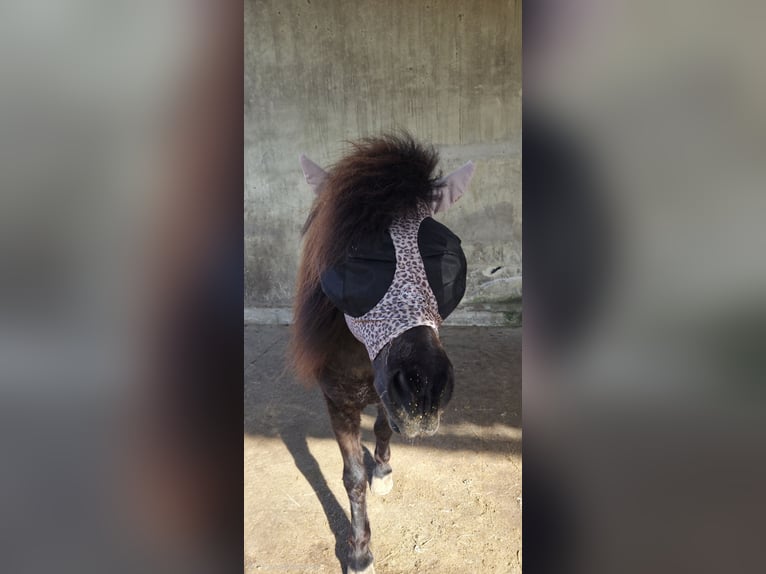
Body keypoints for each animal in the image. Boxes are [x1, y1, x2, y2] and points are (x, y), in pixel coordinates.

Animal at [289, 133, 475, 573]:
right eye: (356, 259)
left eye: (445, 257)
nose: (424, 388)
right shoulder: (337, 403)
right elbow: (352, 477)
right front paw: (359, 552)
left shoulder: (389, 399)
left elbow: (385, 428)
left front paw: (384, 470)